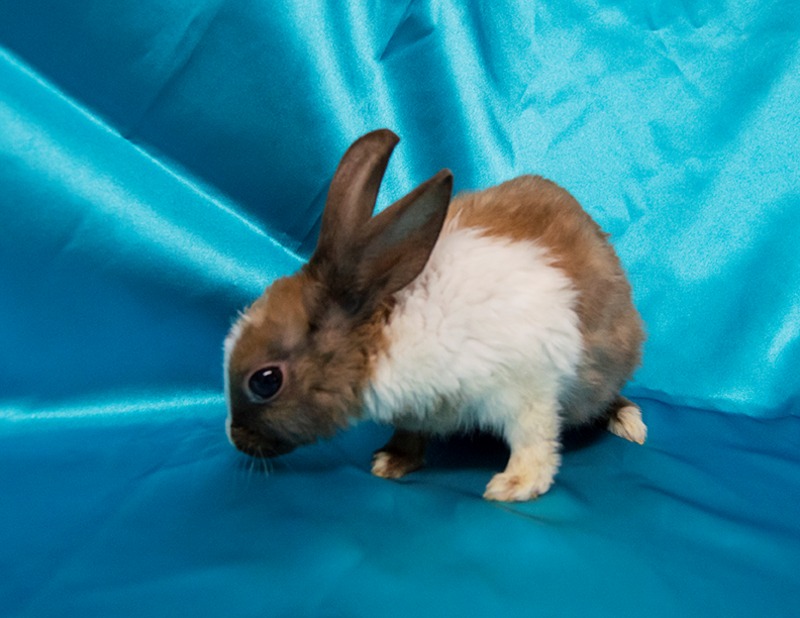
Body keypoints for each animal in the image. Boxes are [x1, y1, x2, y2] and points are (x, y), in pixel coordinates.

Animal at [224, 128, 645, 502]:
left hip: (602, 368)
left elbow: (534, 441)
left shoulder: (528, 387)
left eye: (265, 381)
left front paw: (515, 486)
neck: (385, 330)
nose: (235, 438)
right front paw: (391, 461)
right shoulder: (417, 410)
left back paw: (629, 422)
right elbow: (409, 434)